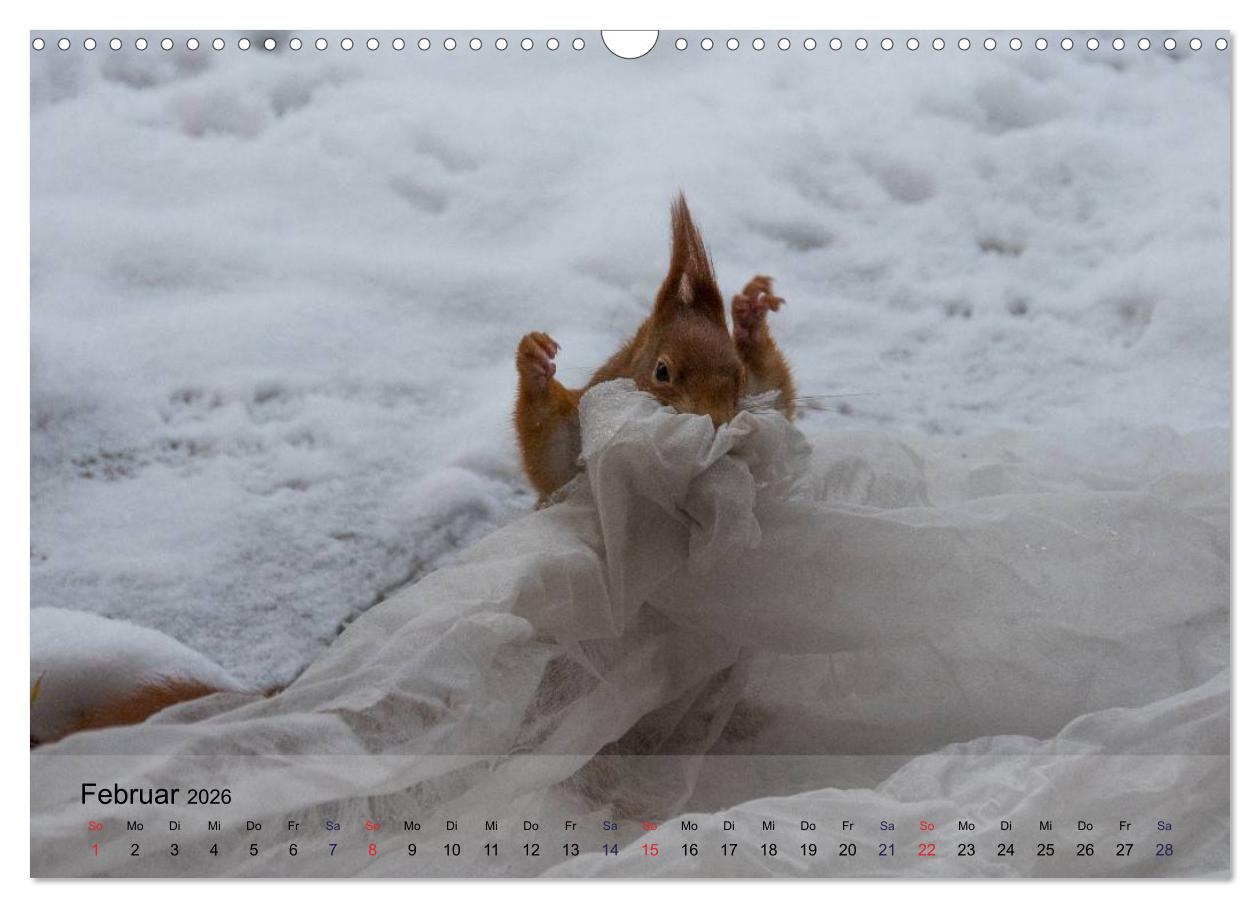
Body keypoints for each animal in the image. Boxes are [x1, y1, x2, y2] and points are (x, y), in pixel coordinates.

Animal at [515, 193, 796, 499]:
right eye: (661, 372)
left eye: (742, 376)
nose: (715, 420)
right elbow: (554, 457)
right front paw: (535, 361)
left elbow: (778, 403)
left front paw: (751, 313)